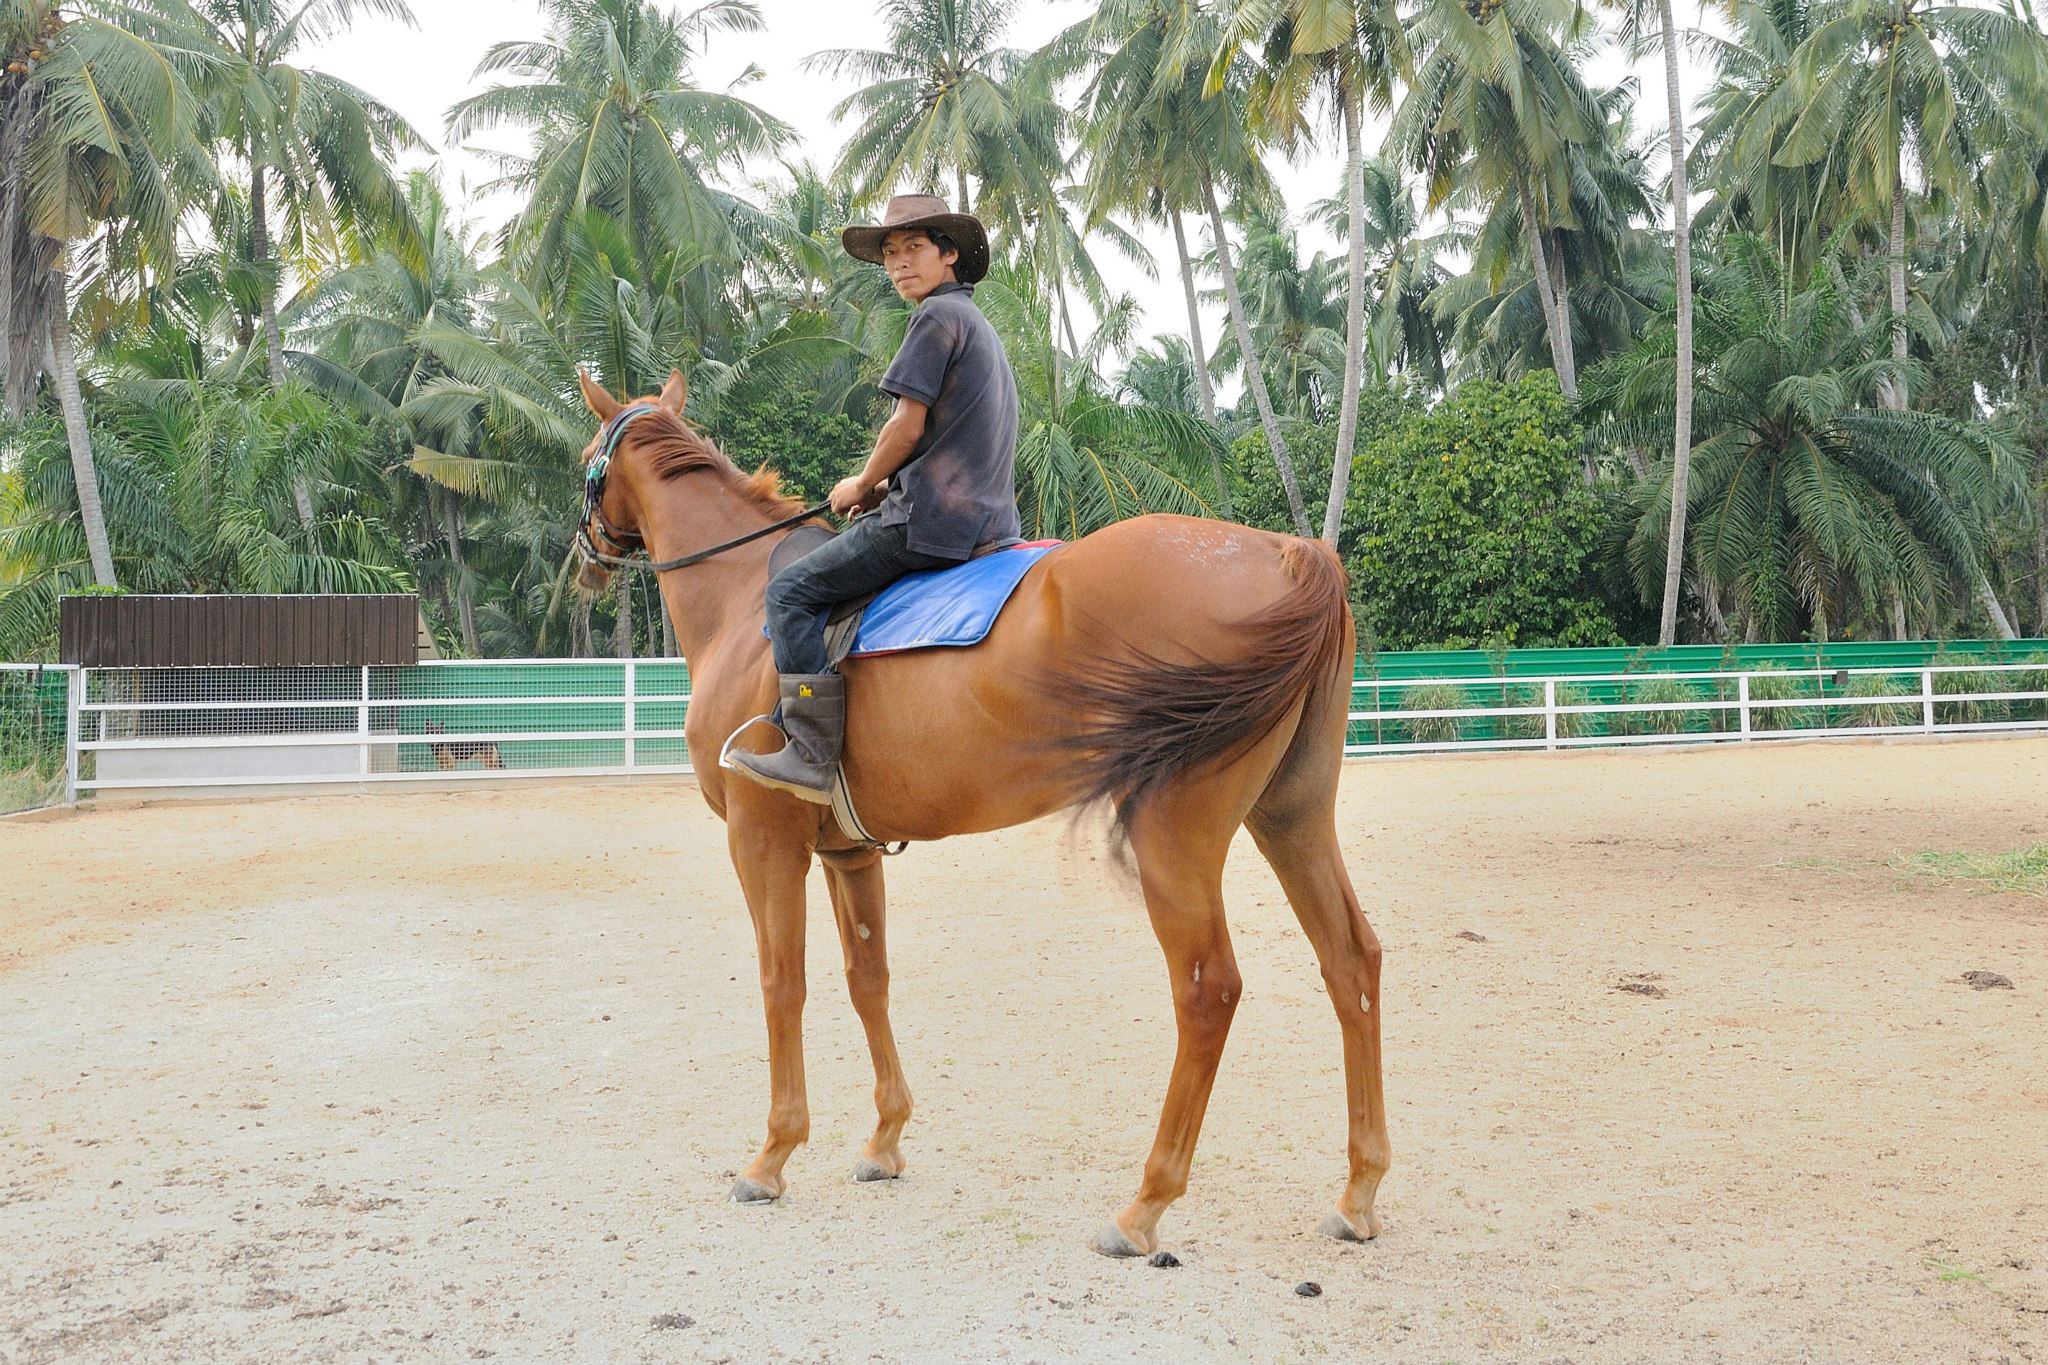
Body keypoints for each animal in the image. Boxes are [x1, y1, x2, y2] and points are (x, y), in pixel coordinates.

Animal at [572, 368, 1390, 1257]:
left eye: (586, 461)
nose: (582, 558)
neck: (745, 600)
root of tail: (1286, 552)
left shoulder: (763, 840)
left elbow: (781, 982)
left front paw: (772, 1154)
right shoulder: (847, 852)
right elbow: (868, 979)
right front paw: (885, 1138)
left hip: (1175, 833)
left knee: (1209, 990)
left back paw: (1145, 1203)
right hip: (1291, 816)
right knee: (1351, 961)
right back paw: (1357, 1191)